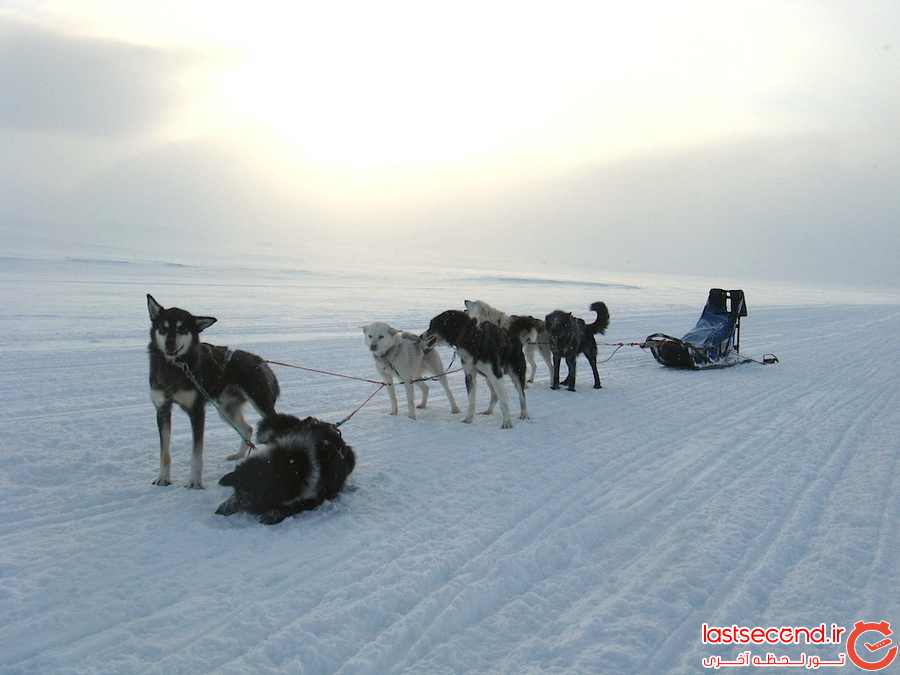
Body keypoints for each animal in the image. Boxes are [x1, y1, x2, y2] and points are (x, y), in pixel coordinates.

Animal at [146, 294, 280, 488]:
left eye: (182, 329)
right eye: (163, 328)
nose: (170, 344)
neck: (175, 368)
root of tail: (260, 361)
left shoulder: (196, 412)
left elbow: (196, 454)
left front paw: (194, 482)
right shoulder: (162, 410)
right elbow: (164, 454)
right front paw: (163, 478)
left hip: (259, 405)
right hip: (225, 410)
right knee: (247, 429)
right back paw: (238, 456)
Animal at [215, 414, 356, 524]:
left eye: (244, 494)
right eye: (236, 491)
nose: (219, 511)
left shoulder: (313, 499)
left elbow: (292, 507)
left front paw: (273, 514)